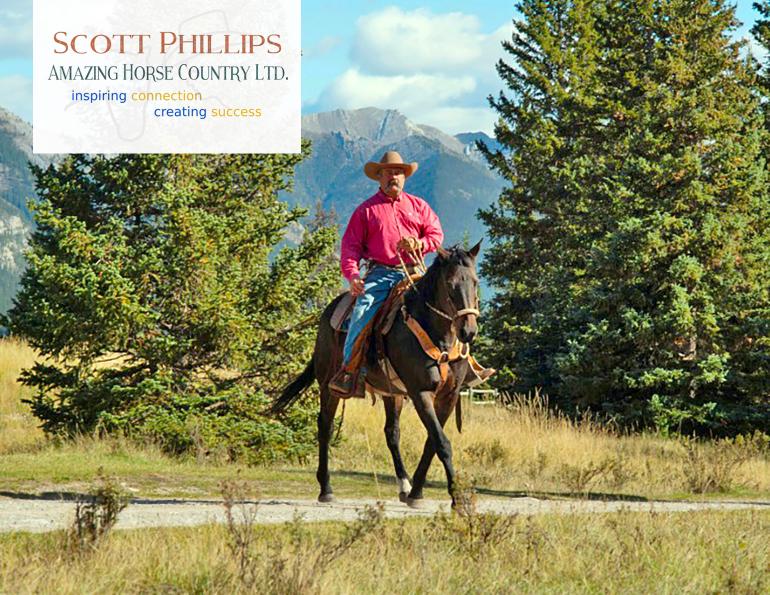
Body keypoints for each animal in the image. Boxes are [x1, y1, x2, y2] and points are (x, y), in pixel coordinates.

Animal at [270, 241, 482, 508]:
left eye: (475, 281)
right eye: (450, 283)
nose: (468, 331)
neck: (437, 334)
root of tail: (329, 310)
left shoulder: (448, 396)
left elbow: (431, 443)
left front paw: (416, 493)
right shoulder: (420, 392)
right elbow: (441, 443)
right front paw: (458, 500)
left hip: (393, 393)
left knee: (391, 433)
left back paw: (404, 486)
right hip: (328, 385)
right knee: (325, 426)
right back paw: (326, 488)